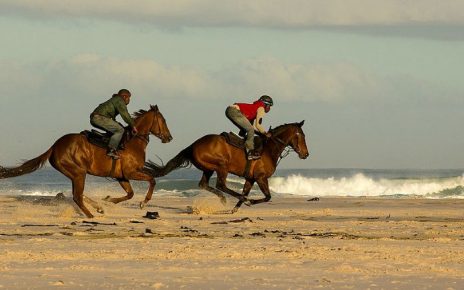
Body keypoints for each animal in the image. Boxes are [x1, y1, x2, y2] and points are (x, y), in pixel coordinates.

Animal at [0, 105, 172, 216]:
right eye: (163, 120)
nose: (169, 137)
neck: (132, 141)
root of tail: (55, 146)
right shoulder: (131, 172)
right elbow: (152, 180)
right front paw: (144, 202)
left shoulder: (121, 176)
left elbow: (130, 194)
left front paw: (108, 200)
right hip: (79, 173)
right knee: (77, 196)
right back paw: (91, 215)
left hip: (74, 174)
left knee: (78, 194)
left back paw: (97, 207)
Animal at [144, 121, 308, 212]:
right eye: (301, 135)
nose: (306, 154)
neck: (268, 149)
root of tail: (193, 145)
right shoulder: (261, 178)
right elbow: (267, 196)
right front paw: (249, 201)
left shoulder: (251, 178)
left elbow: (247, 191)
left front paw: (236, 208)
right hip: (221, 166)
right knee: (221, 184)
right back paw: (228, 199)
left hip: (208, 169)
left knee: (204, 184)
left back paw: (224, 199)